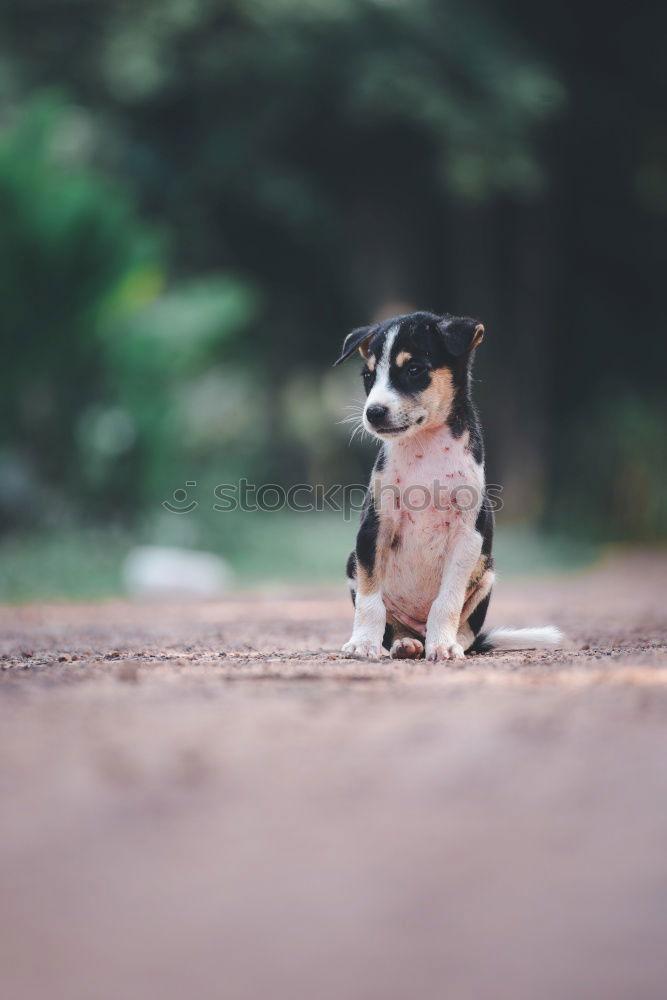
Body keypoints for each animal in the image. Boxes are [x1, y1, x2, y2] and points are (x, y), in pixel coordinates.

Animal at [336, 308, 560, 660]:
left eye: (414, 370)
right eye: (368, 376)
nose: (373, 413)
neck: (425, 448)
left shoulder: (467, 538)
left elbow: (447, 602)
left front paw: (442, 646)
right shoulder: (373, 530)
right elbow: (371, 602)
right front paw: (362, 644)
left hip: (486, 573)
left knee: (469, 634)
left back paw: (441, 642)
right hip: (352, 564)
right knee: (394, 626)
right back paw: (406, 643)